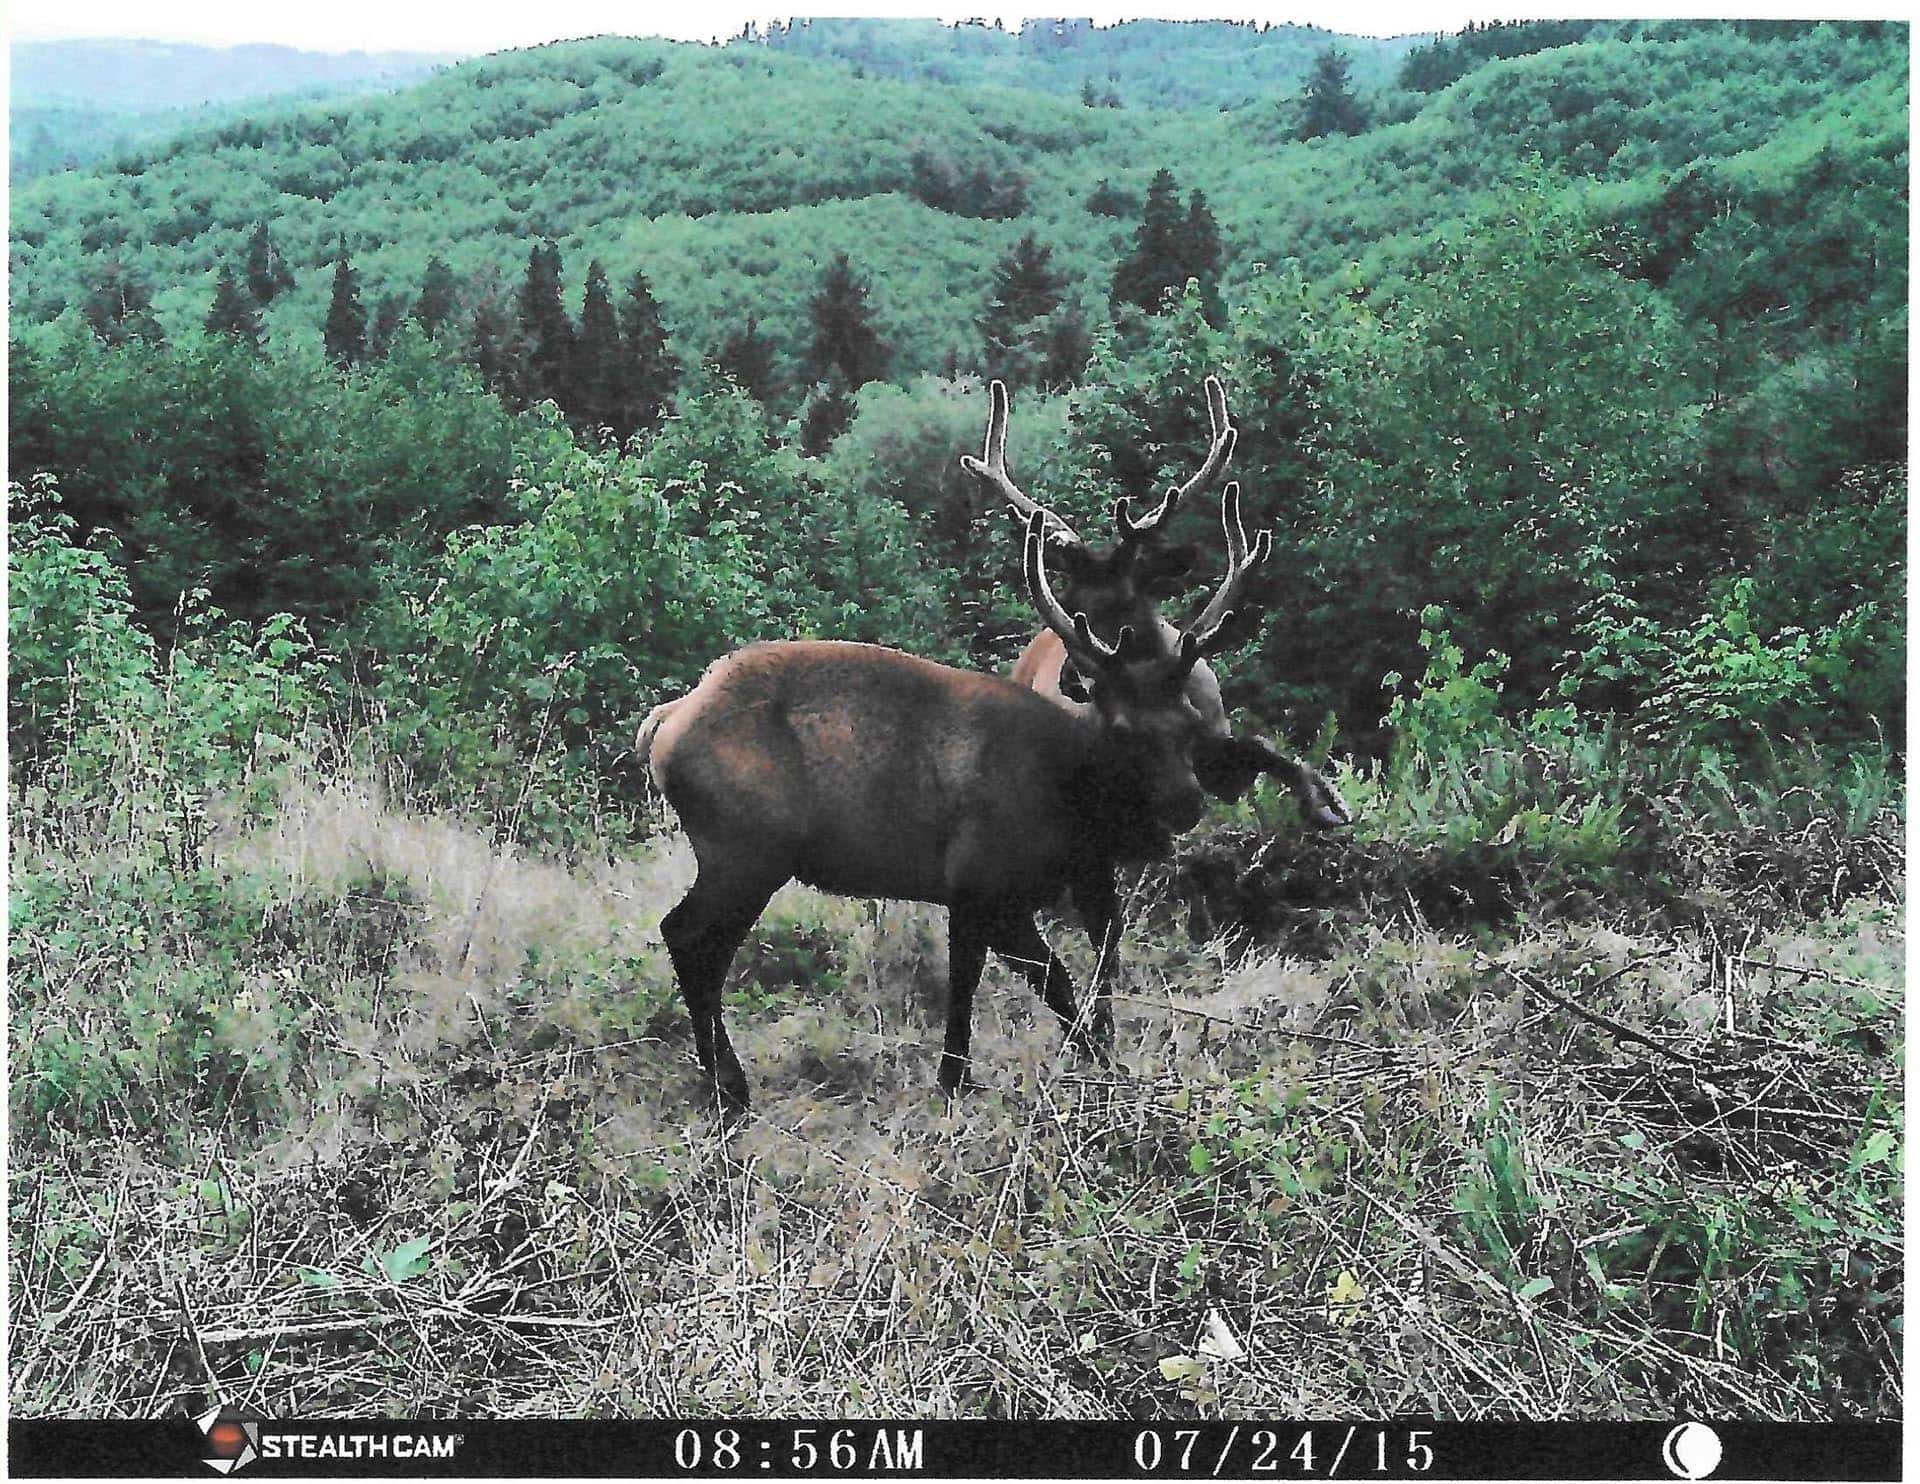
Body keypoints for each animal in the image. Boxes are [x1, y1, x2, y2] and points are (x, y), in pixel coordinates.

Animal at [636, 497, 1273, 1113]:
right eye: (1123, 731)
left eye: (1188, 721)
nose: (1185, 802)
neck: (1067, 799)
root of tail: (664, 723)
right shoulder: (984, 879)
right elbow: (1048, 978)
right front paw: (1081, 1068)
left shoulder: (978, 894)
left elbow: (978, 976)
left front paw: (962, 1077)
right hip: (746, 848)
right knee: (690, 937)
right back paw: (730, 1089)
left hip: (741, 853)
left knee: (688, 938)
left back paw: (721, 1081)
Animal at [960, 375, 1350, 832]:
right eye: (1069, 600)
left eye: (1128, 600)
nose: (1073, 679)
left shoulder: (1216, 737)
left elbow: (1266, 748)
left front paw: (1325, 799)